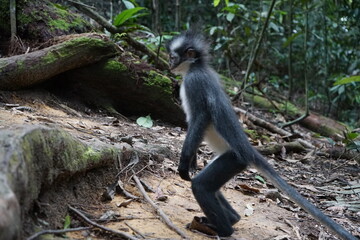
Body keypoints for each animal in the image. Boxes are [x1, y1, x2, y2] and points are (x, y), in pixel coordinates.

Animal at [166, 30, 358, 240]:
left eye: (173, 57)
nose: (169, 64)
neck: (196, 67)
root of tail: (248, 150)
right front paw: (193, 160)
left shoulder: (194, 83)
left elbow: (201, 118)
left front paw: (184, 163)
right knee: (210, 186)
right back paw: (232, 219)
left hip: (234, 159)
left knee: (201, 185)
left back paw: (224, 229)